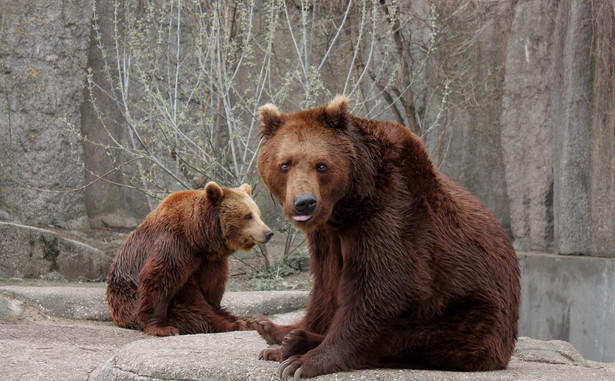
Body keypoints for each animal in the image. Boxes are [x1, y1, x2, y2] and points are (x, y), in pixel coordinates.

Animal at [106, 182, 274, 336]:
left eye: (258, 214)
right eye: (247, 216)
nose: (268, 233)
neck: (198, 236)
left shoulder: (210, 260)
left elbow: (212, 286)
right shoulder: (174, 244)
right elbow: (159, 278)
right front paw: (162, 328)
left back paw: (243, 320)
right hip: (126, 300)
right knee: (190, 316)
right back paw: (235, 323)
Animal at [254, 95, 520, 378]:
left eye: (322, 165)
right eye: (285, 164)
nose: (304, 203)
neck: (348, 205)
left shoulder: (392, 211)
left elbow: (382, 288)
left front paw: (303, 362)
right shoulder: (327, 236)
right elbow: (326, 285)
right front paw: (281, 336)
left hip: (471, 315)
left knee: (406, 339)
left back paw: (296, 344)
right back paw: (274, 331)